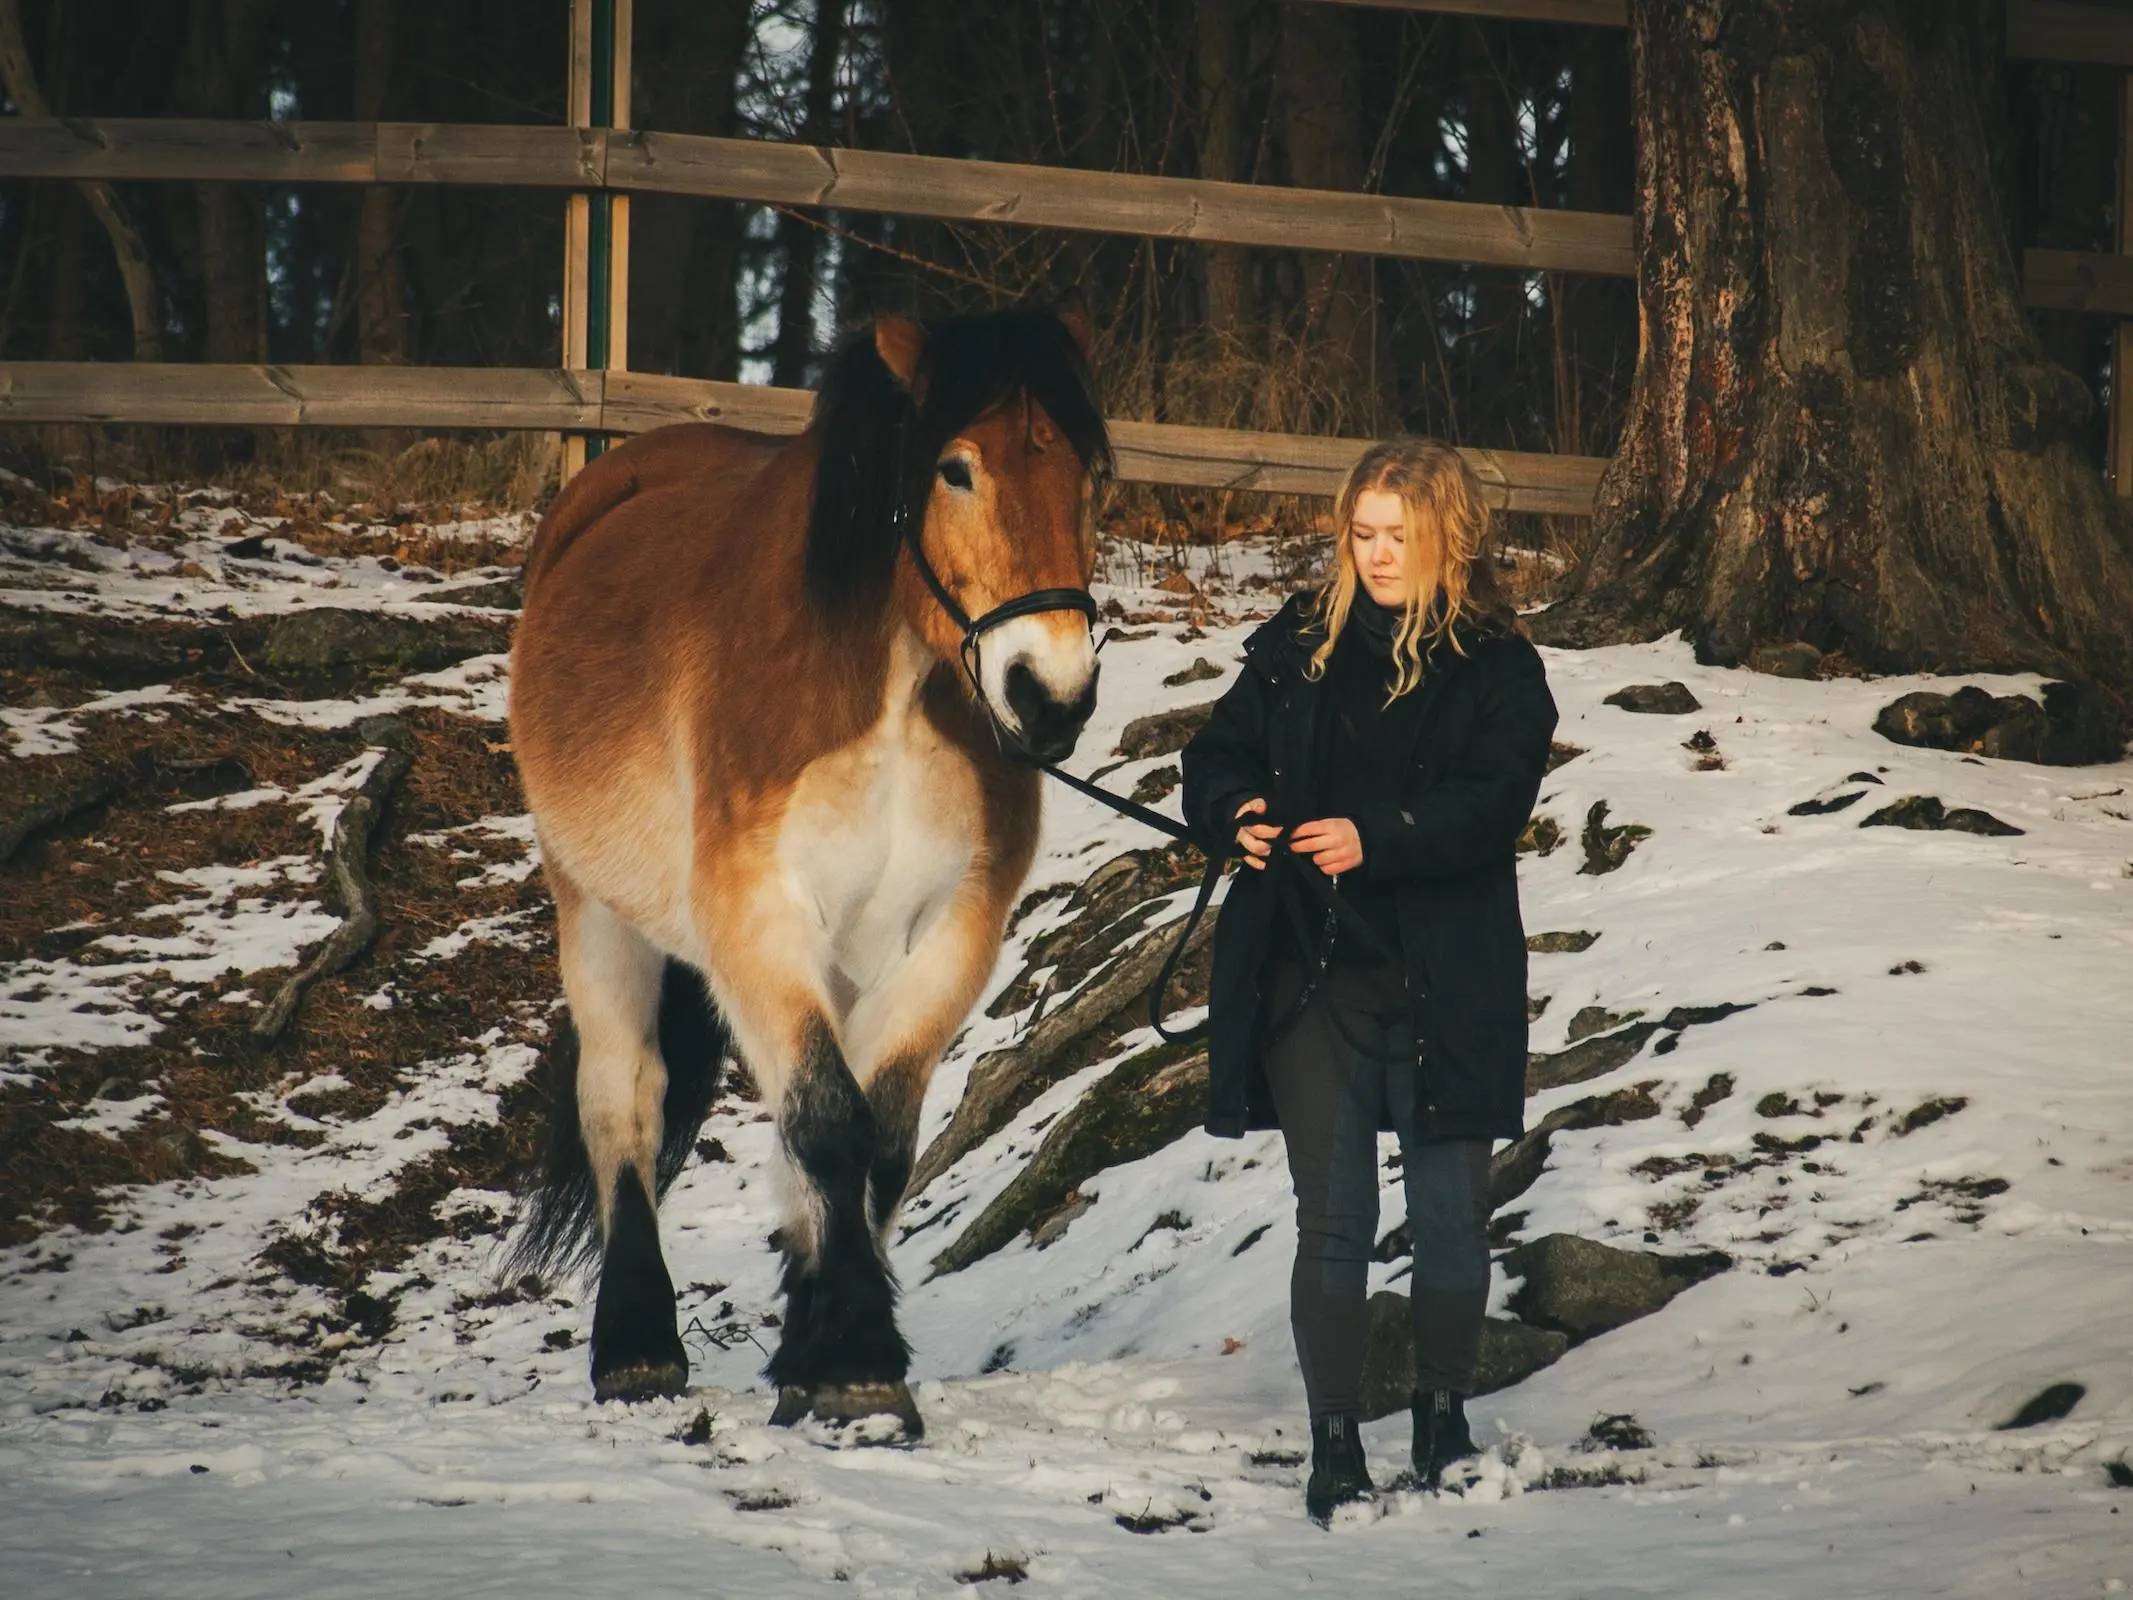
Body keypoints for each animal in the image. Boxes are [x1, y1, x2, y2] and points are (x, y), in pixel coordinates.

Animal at [505, 302, 1109, 1442]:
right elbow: (830, 1122)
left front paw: (823, 1353)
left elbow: (880, 1139)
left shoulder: (952, 929)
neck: (887, 692)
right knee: (624, 1101)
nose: (1049, 695)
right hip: (596, 906)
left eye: (1090, 476)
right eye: (956, 468)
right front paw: (859, 1361)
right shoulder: (756, 914)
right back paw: (637, 1345)